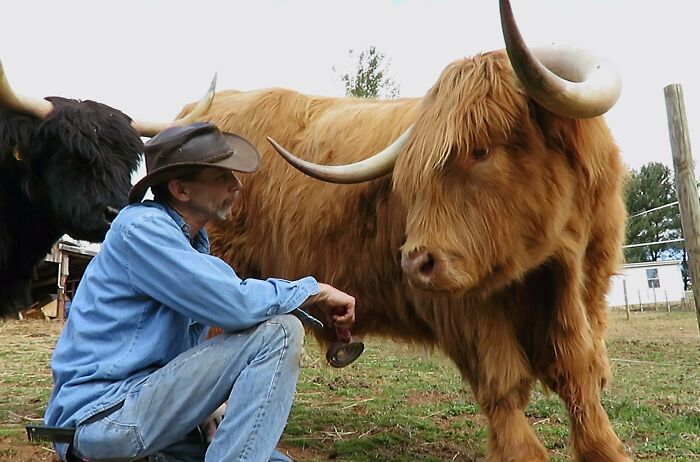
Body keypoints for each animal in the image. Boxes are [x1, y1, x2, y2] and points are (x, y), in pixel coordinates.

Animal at [180, 1, 630, 460]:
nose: (415, 264)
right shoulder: (470, 313)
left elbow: (579, 373)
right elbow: (502, 385)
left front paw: (603, 448)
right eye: (411, 176)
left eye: (481, 150)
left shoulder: (587, 291)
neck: (552, 266)